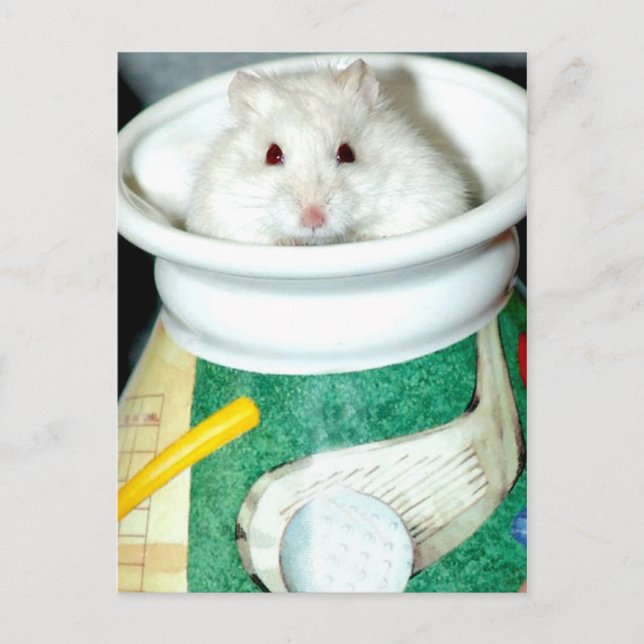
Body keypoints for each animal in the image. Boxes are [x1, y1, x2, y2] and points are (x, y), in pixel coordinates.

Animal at [186, 59, 469, 246]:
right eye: (272, 154)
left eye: (347, 153)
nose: (313, 220)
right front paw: (287, 243)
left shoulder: (425, 197)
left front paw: (362, 237)